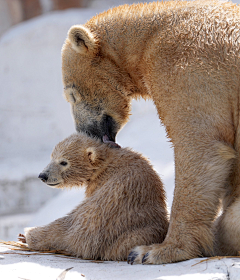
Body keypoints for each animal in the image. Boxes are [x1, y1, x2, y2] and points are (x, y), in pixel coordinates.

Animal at [61, 0, 240, 264]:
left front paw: (153, 250)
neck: (148, 38)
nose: (85, 131)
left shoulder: (189, 68)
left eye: (72, 94)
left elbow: (200, 148)